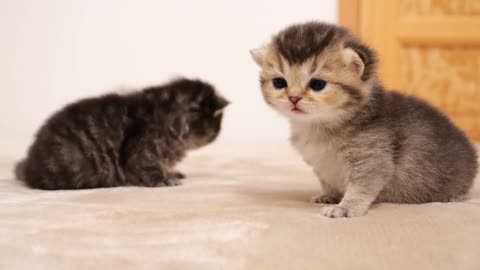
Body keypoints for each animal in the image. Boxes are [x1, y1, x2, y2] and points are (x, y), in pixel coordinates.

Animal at [15, 78, 229, 190]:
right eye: (217, 123)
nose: (218, 133)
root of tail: (29, 164)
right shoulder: (143, 153)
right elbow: (150, 170)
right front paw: (165, 179)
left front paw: (171, 172)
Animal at [251, 22, 476, 218]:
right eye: (279, 83)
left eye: (317, 84)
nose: (294, 98)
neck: (322, 126)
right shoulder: (321, 165)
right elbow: (328, 182)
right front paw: (329, 196)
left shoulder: (372, 160)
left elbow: (362, 187)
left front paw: (345, 207)